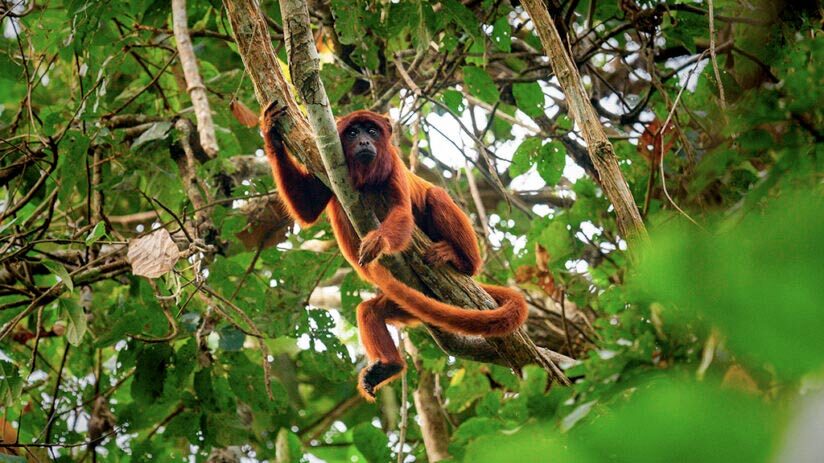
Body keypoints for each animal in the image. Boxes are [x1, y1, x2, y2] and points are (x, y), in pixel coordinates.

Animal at [262, 103, 528, 400]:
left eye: (372, 131)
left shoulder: (393, 165)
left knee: (436, 196)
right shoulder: (325, 165)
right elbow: (307, 208)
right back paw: (390, 365)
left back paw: (459, 259)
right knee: (369, 311)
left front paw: (378, 241)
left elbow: (401, 211)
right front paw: (271, 132)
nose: (364, 142)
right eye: (352, 133)